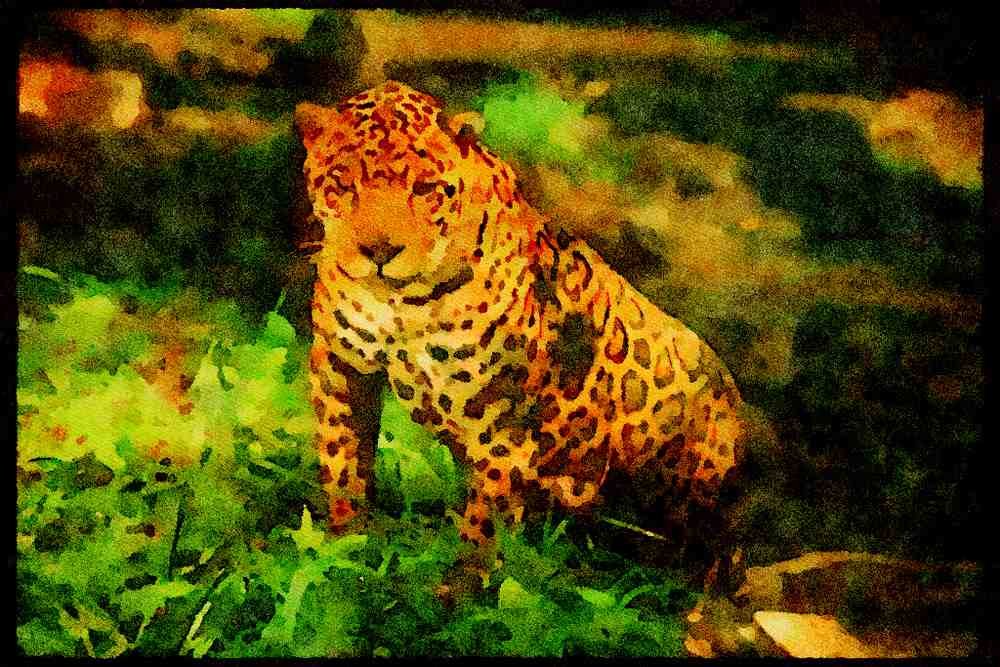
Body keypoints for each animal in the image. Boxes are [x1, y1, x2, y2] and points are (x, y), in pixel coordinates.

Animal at [295, 81, 746, 580]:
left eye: (425, 189)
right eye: (341, 184)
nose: (378, 251)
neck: (403, 306)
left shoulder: (505, 409)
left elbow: (486, 512)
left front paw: (464, 586)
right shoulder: (341, 364)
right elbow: (343, 456)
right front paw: (345, 543)